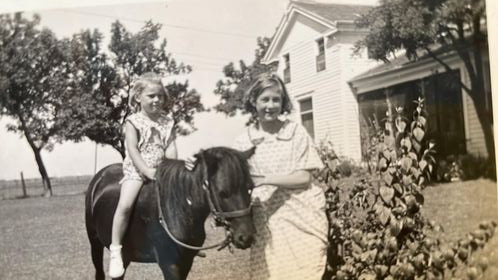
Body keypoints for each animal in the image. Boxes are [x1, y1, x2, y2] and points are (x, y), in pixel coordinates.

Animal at [84, 147, 255, 280]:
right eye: (222, 193)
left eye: (250, 188)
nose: (246, 237)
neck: (178, 210)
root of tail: (100, 176)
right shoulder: (170, 264)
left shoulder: (186, 261)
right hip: (95, 243)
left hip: (125, 253)